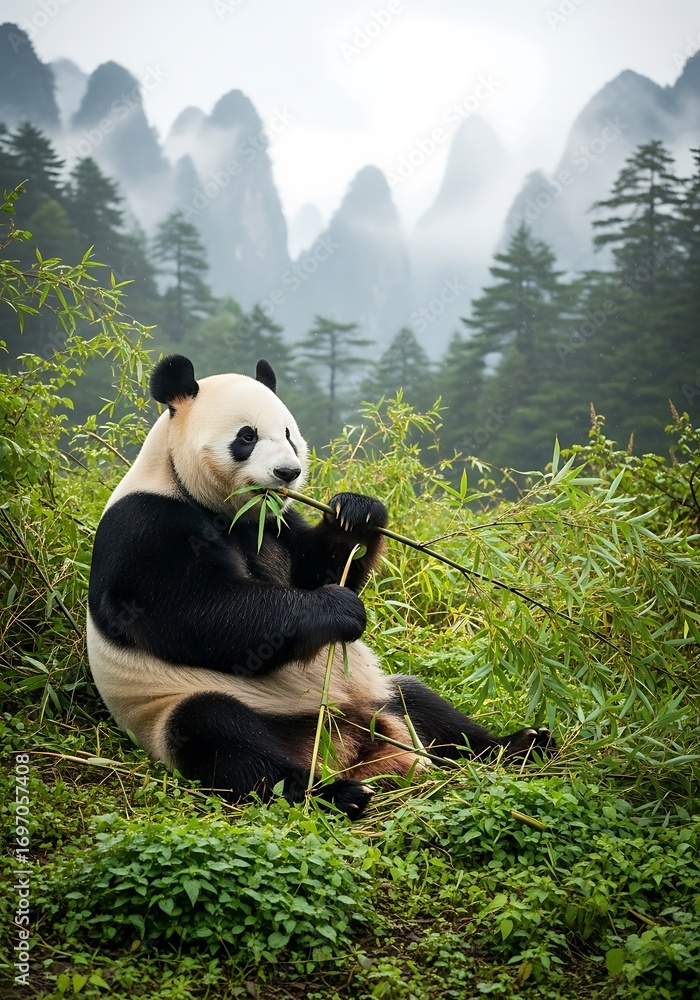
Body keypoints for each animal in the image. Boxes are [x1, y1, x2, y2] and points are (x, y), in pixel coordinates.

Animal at [87, 354, 552, 818]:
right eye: (247, 436)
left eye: (289, 435)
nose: (287, 473)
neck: (183, 483)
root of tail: (348, 746)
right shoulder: (147, 528)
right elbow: (200, 615)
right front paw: (339, 608)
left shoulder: (275, 523)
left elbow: (313, 567)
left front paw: (357, 513)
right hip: (189, 710)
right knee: (223, 737)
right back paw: (335, 793)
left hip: (377, 696)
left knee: (422, 704)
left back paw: (520, 743)